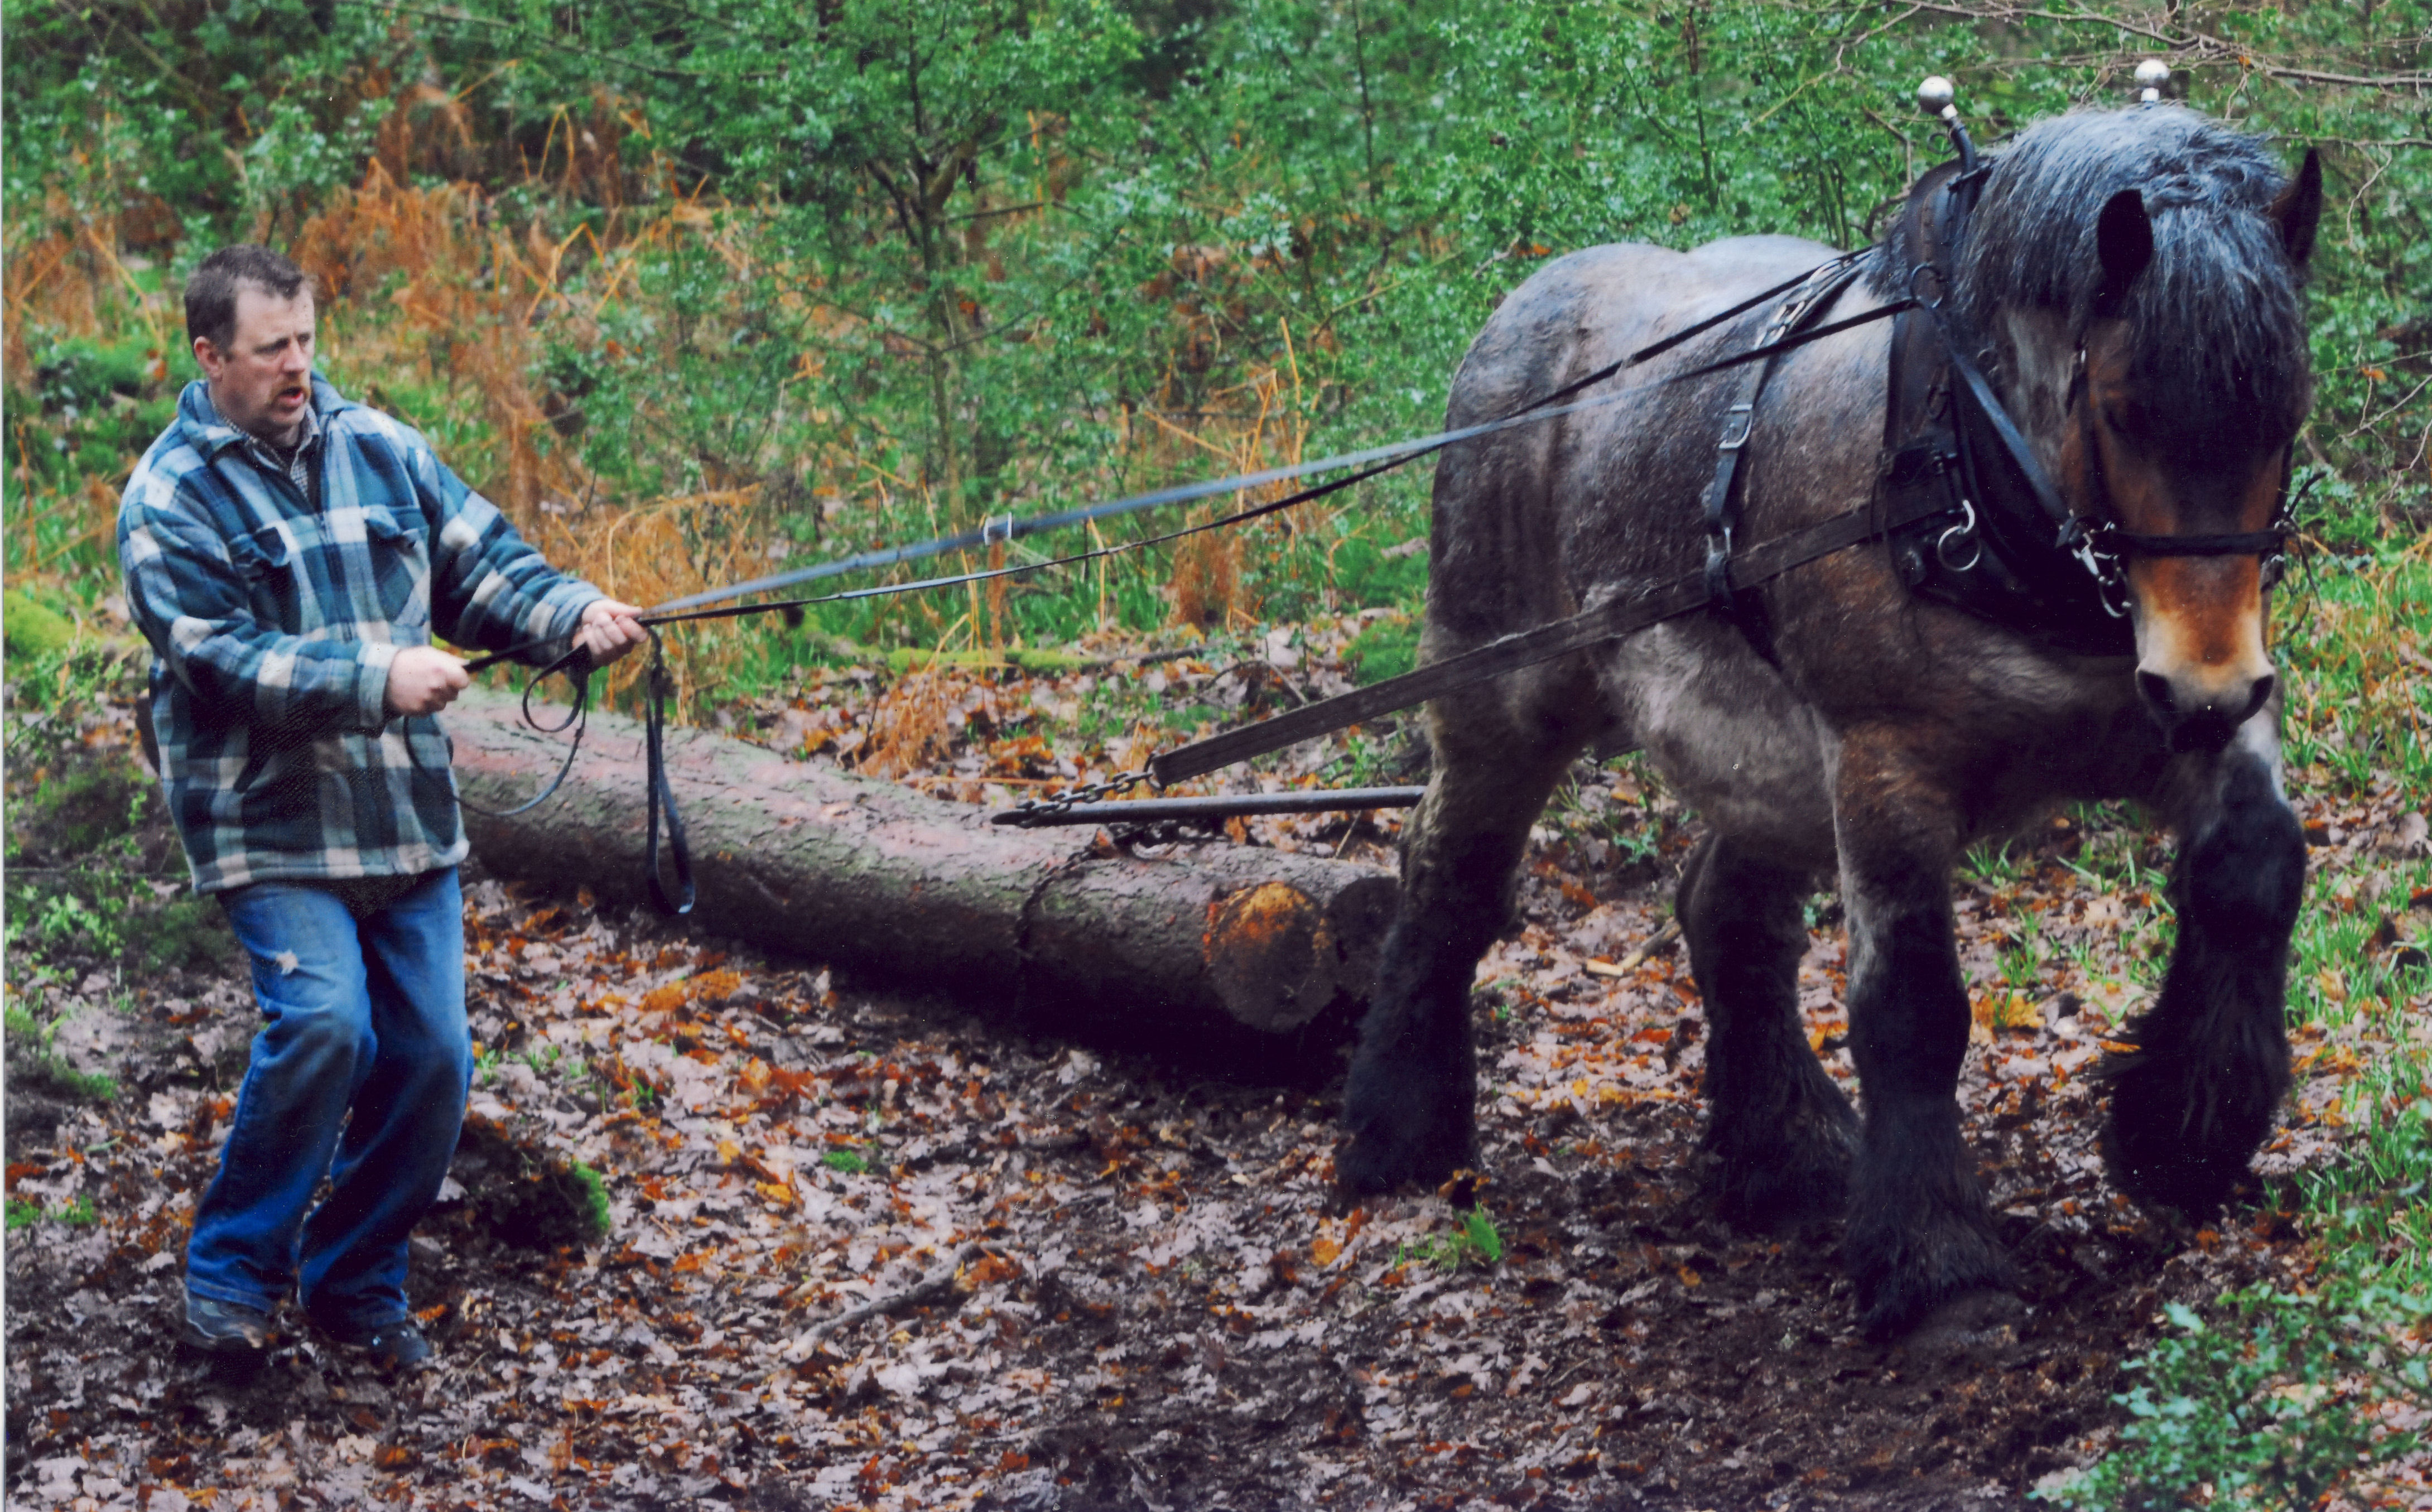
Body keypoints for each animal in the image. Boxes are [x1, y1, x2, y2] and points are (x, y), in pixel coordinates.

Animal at [1335, 104, 2325, 1338]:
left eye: (2282, 413)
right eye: (2123, 410)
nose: (2207, 689)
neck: (1968, 472)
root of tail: (1523, 315)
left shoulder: (2163, 708)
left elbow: (2250, 869)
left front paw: (2184, 1131)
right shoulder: (1883, 762)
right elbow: (1910, 1006)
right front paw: (1939, 1267)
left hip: (1760, 753)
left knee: (1726, 911)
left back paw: (1786, 1155)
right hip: (1501, 696)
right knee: (1447, 876)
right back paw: (1395, 1132)